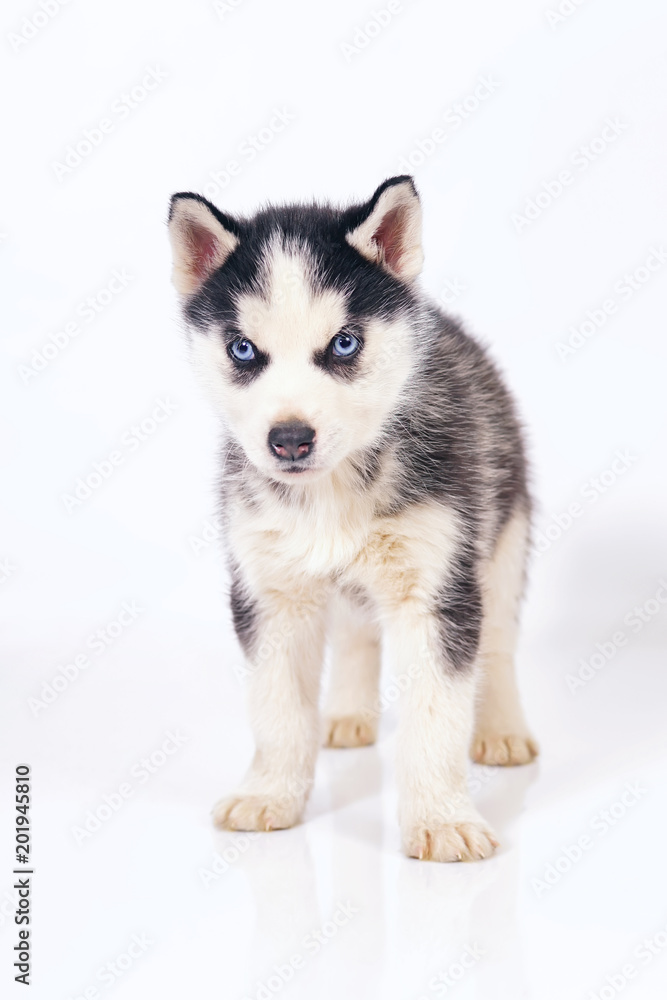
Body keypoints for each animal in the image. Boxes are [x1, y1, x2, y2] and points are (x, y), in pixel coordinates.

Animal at [167, 178, 536, 860]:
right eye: (242, 349)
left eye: (344, 343)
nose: (289, 439)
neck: (330, 493)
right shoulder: (271, 592)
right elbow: (277, 708)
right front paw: (270, 794)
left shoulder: (437, 588)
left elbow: (436, 714)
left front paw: (441, 819)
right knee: (358, 636)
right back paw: (346, 716)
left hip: (503, 539)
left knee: (498, 643)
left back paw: (500, 729)